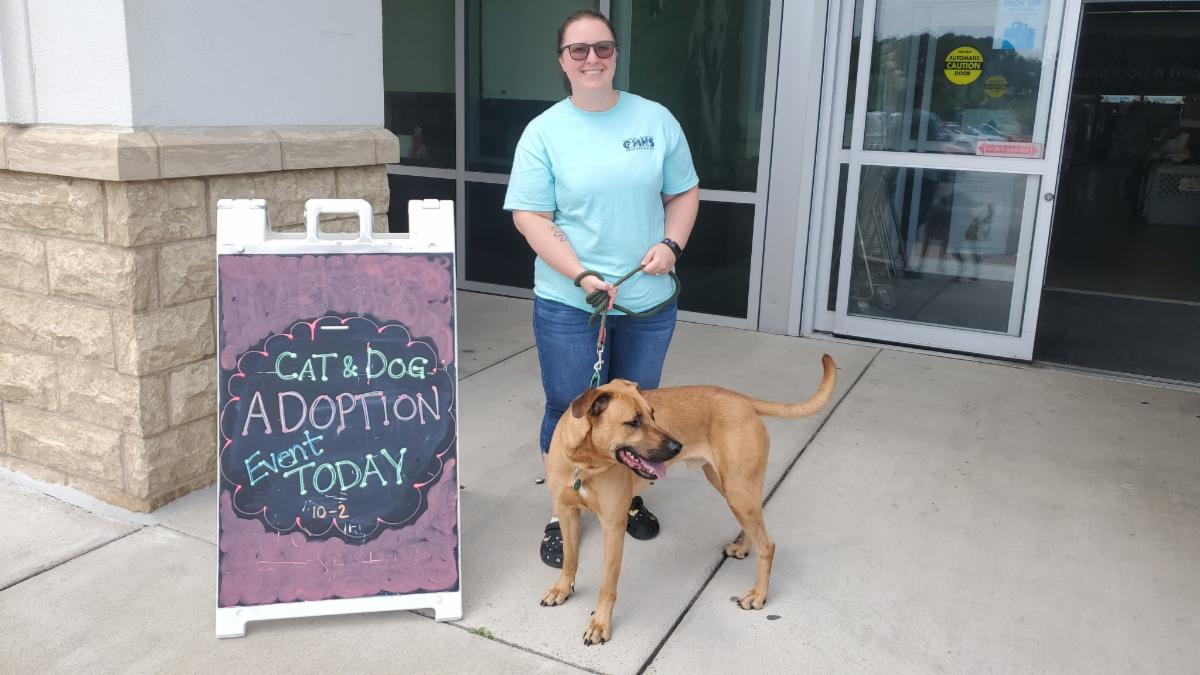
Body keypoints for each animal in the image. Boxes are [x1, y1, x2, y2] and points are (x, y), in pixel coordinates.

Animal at [542, 353, 835, 638]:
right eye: (634, 422)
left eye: (653, 414)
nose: (677, 446)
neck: (583, 464)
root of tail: (742, 399)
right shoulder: (567, 513)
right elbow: (570, 559)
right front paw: (562, 589)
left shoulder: (613, 526)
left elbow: (607, 584)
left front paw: (600, 624)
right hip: (731, 487)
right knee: (758, 525)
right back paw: (743, 547)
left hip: (738, 490)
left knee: (767, 544)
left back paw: (759, 594)